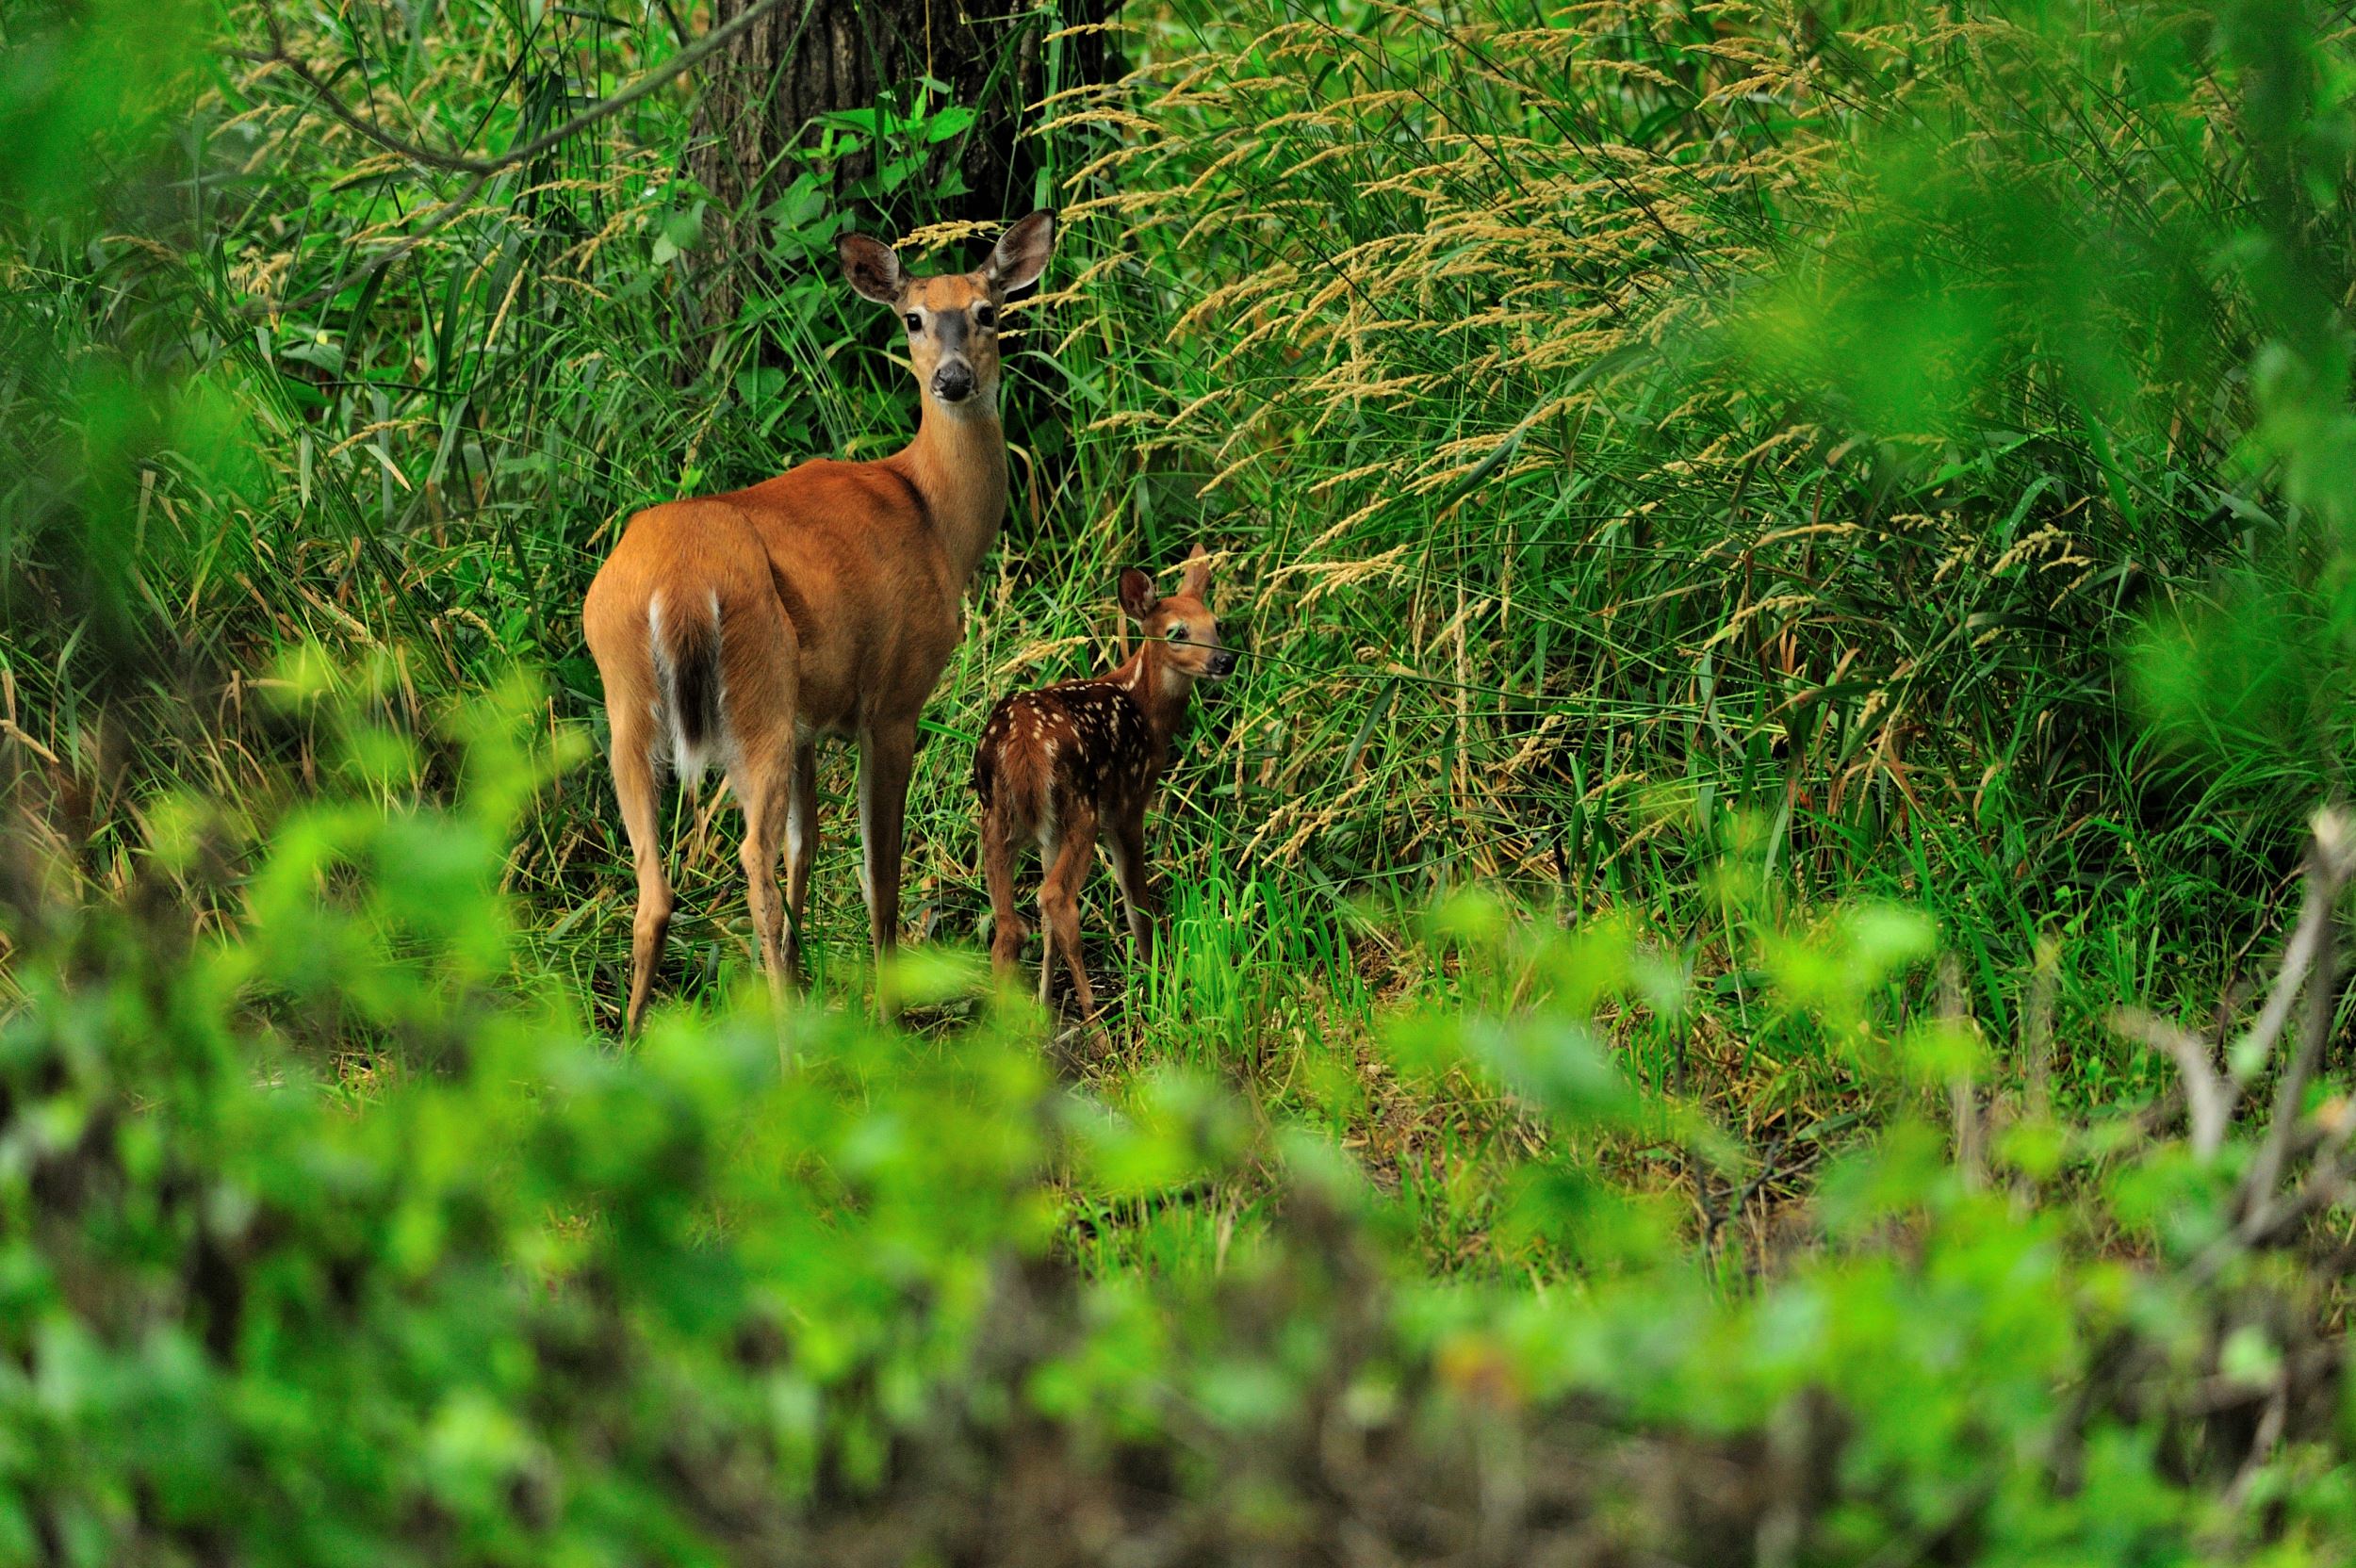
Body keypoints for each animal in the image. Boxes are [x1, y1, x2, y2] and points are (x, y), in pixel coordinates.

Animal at [584, 210, 1065, 1036]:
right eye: (912, 319)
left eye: (986, 311)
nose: (954, 380)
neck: (936, 516)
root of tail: (679, 584)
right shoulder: (894, 698)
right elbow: (878, 870)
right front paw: (884, 1010)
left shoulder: (813, 721)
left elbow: (806, 848)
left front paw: (811, 981)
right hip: (758, 690)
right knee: (750, 858)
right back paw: (781, 1043)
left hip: (629, 698)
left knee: (655, 887)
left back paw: (632, 1043)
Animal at [971, 544, 1244, 1021]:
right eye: (1177, 632)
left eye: (1217, 624)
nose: (1224, 660)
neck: (1144, 709)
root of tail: (1022, 742)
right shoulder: (1129, 803)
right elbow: (1137, 903)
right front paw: (1158, 983)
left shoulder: (1049, 835)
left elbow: (1043, 927)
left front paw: (1044, 1005)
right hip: (1083, 807)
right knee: (1057, 899)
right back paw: (1096, 1021)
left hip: (999, 818)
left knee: (1010, 924)